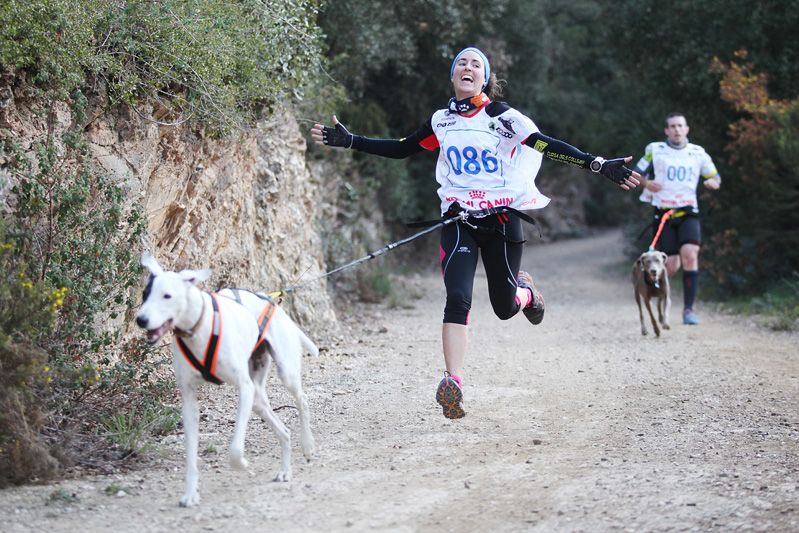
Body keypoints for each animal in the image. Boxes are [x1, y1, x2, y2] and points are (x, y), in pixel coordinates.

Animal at [134, 256, 316, 504]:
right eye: (145, 294)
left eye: (167, 295)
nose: (141, 320)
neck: (198, 326)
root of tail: (270, 300)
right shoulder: (189, 402)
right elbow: (191, 456)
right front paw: (190, 494)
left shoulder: (244, 388)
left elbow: (235, 450)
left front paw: (242, 465)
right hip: (258, 399)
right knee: (284, 431)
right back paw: (285, 470)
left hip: (284, 374)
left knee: (303, 401)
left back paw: (307, 445)